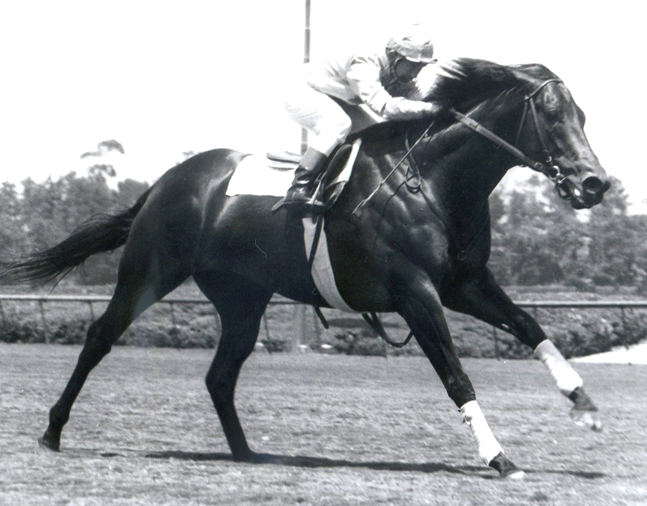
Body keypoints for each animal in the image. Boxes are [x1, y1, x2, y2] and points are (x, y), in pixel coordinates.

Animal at [2, 59, 612, 478]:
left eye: (584, 116)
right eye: (552, 116)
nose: (594, 183)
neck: (431, 179)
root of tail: (163, 184)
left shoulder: (464, 283)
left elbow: (530, 325)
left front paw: (583, 405)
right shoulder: (416, 292)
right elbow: (456, 374)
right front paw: (498, 456)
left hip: (242, 299)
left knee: (220, 375)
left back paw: (248, 453)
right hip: (149, 271)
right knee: (100, 337)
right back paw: (52, 431)